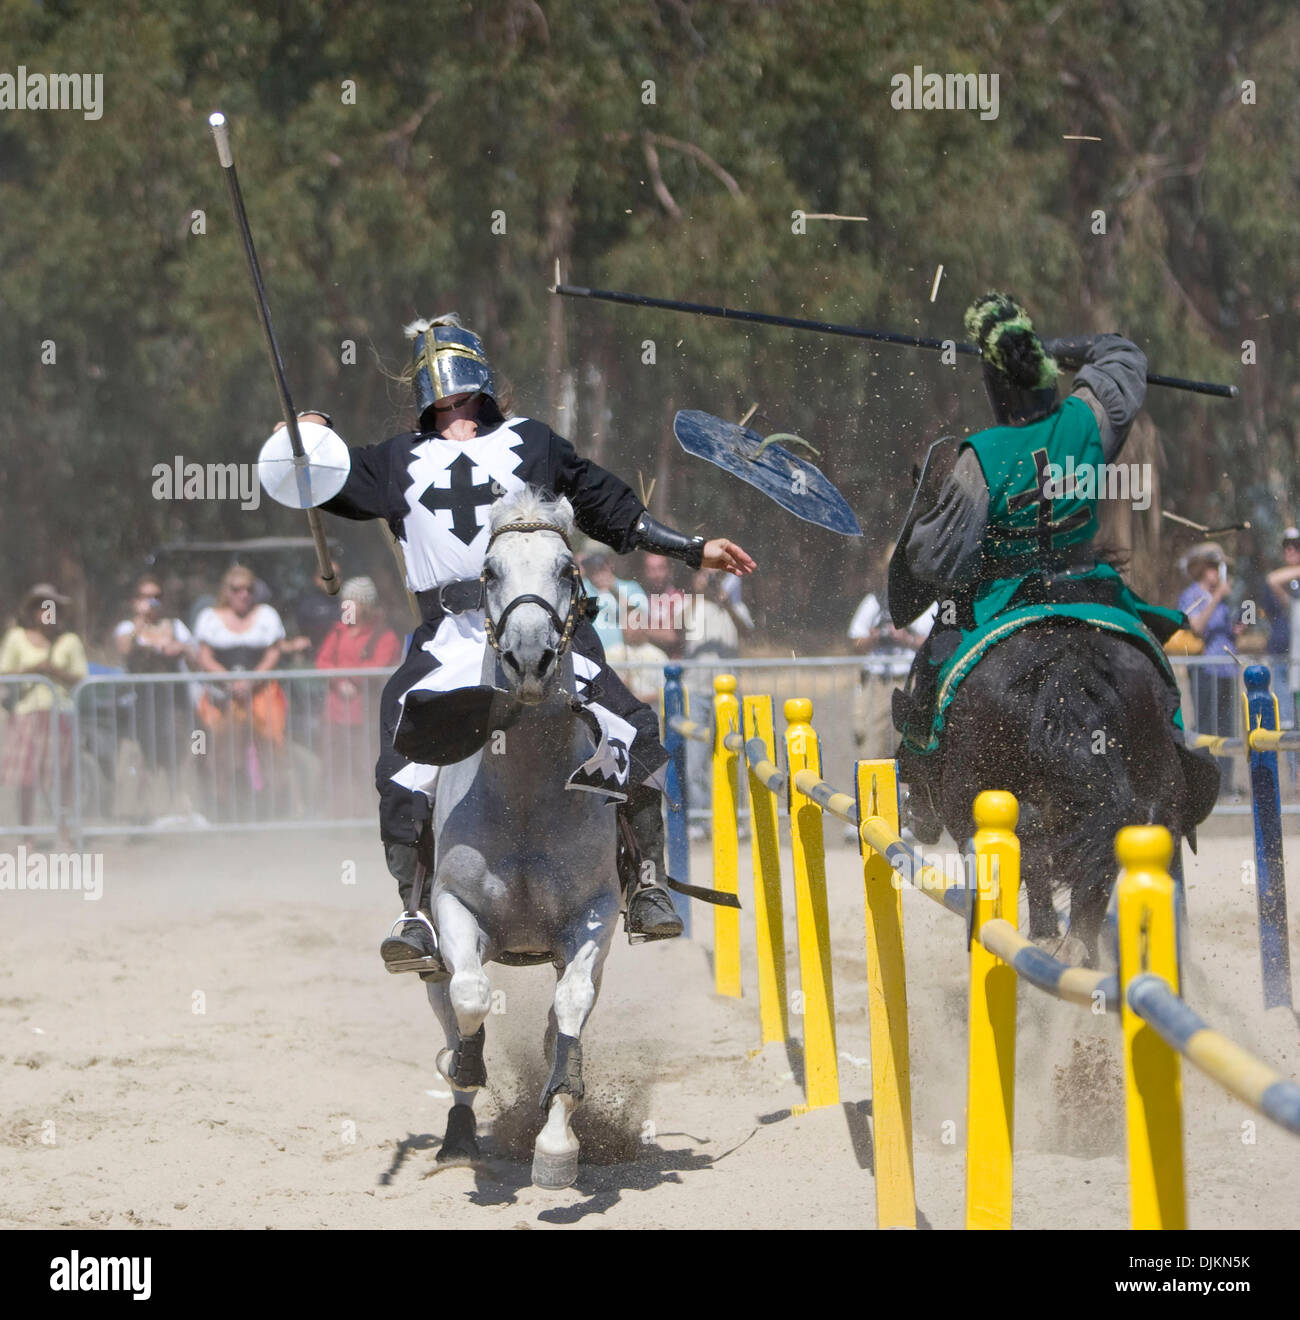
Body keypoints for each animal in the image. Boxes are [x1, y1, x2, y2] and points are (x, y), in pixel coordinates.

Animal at [417, 491, 617, 1193]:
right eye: (491, 572)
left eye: (566, 569)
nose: (529, 659)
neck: (527, 793)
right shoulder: (455, 910)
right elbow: (470, 997)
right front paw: (463, 1066)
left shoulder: (594, 917)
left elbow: (571, 1009)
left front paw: (557, 1142)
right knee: (447, 999)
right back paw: (457, 1132)